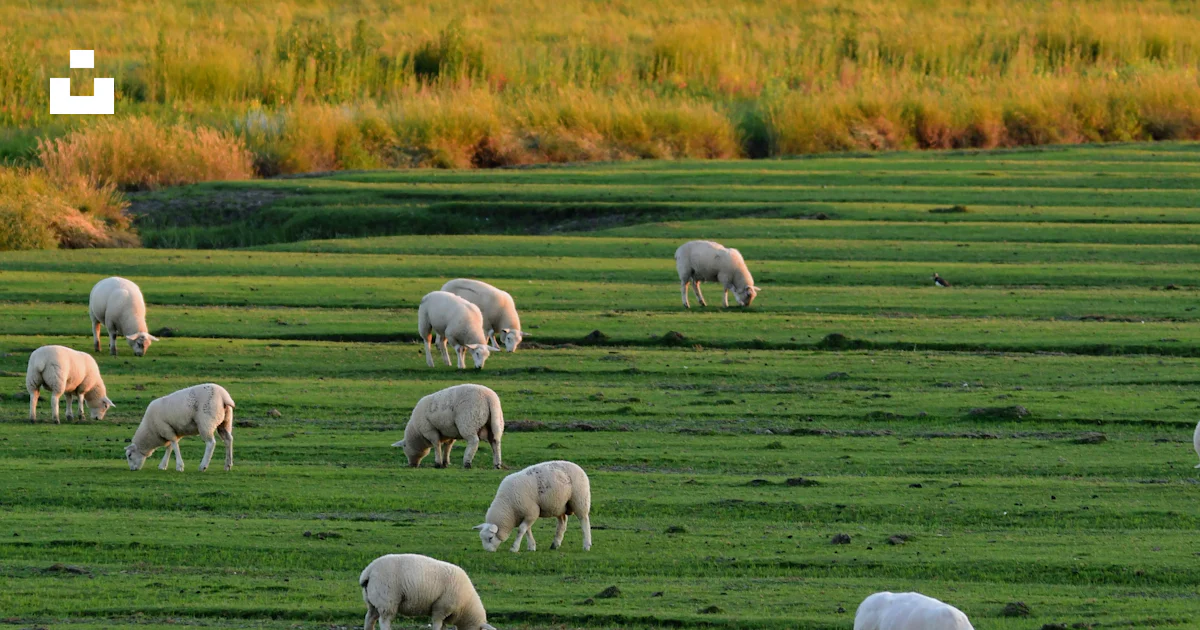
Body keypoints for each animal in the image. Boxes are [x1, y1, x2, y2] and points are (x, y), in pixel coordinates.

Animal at [359, 553, 496, 630]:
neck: (466, 606)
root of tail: (368, 571)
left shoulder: (444, 612)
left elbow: (443, 627)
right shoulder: (440, 608)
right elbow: (437, 625)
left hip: (373, 601)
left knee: (369, 618)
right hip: (387, 600)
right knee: (384, 621)